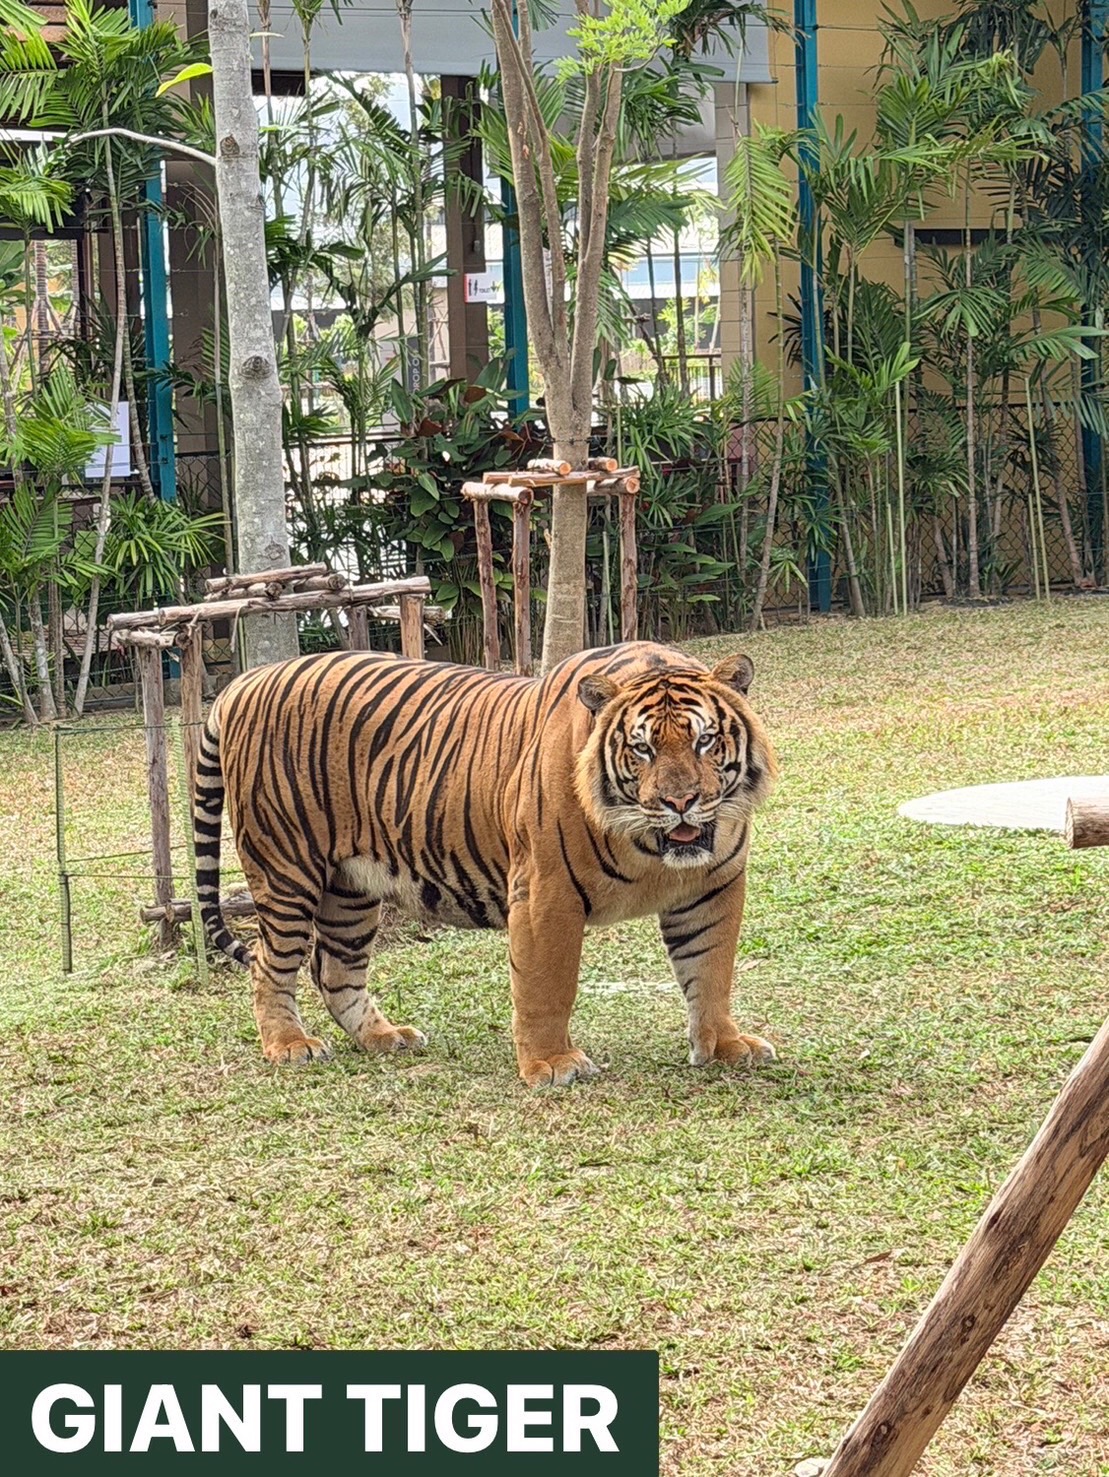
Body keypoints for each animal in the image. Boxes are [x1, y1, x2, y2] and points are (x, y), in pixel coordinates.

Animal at [193, 640, 779, 1087]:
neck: (652, 847)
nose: (679, 802)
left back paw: (385, 1037)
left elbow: (711, 971)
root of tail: (244, 681)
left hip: (350, 888)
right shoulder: (546, 894)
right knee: (272, 964)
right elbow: (547, 985)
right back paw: (289, 1045)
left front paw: (724, 1045)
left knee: (334, 968)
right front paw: (552, 1063)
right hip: (286, 870)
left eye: (704, 741)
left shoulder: (713, 889)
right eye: (642, 750)